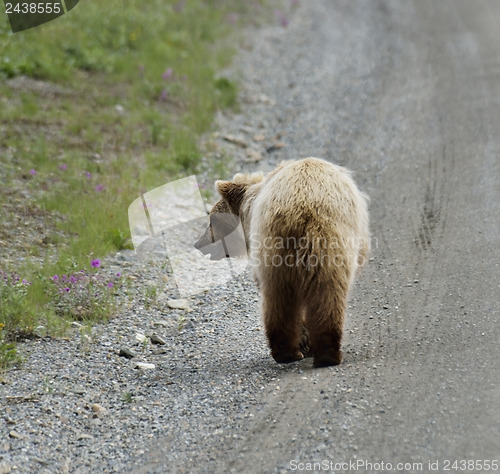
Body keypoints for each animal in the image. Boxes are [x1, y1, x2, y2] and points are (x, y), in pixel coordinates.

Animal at [193, 158, 370, 366]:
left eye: (212, 219)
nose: (198, 243)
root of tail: (304, 205)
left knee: (281, 297)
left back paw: (290, 352)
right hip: (325, 243)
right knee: (326, 291)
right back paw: (323, 353)